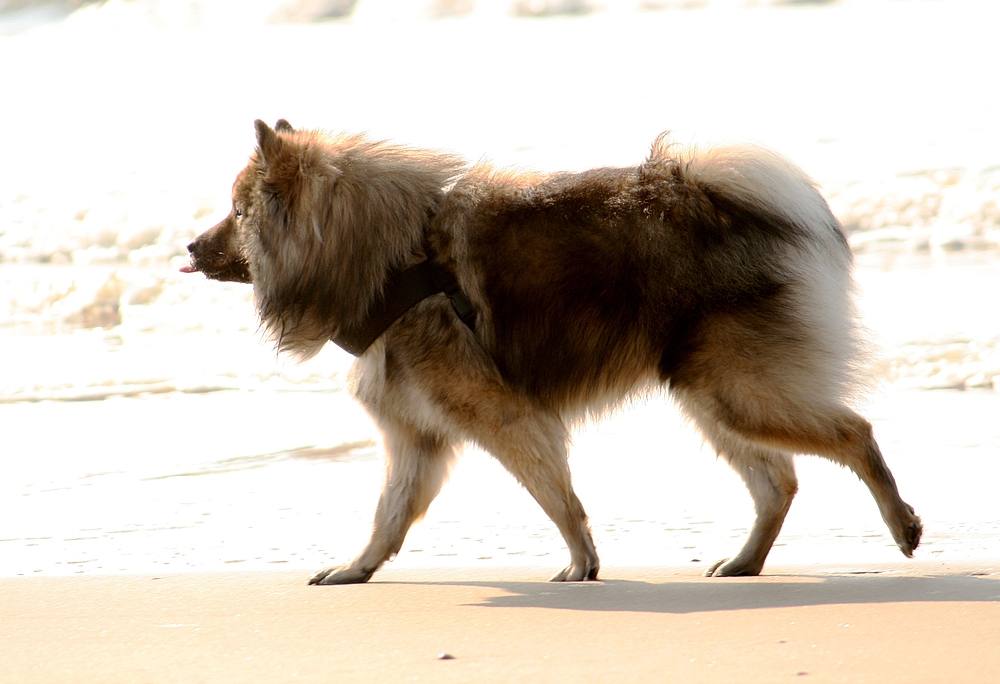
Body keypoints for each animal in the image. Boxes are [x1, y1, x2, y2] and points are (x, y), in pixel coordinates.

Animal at [182, 119, 920, 584]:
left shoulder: (507, 419)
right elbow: (387, 519)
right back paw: (745, 562)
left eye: (238, 213)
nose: (188, 245)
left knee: (854, 433)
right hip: (710, 396)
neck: (392, 265)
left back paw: (902, 523)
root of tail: (715, 195)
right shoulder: (416, 440)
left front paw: (581, 564)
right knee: (779, 483)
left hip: (734, 393)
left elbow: (557, 497)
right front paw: (355, 569)